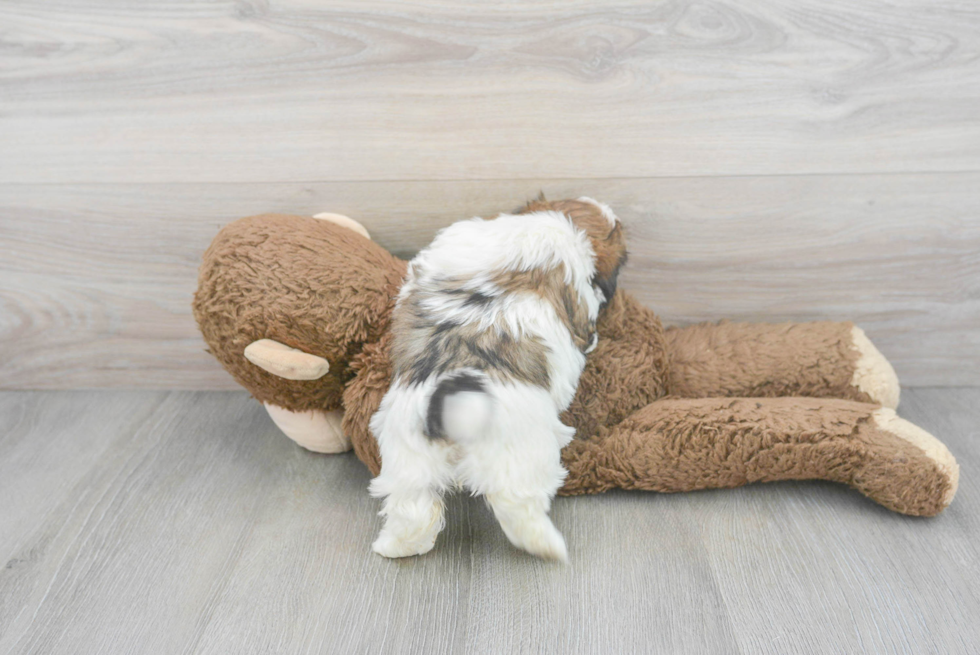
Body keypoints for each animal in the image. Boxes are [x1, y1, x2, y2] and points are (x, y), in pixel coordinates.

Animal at [368, 197, 628, 560]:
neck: (554, 221)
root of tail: (454, 405)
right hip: (518, 453)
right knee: (515, 504)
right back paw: (547, 546)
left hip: (406, 452)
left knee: (413, 507)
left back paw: (395, 546)